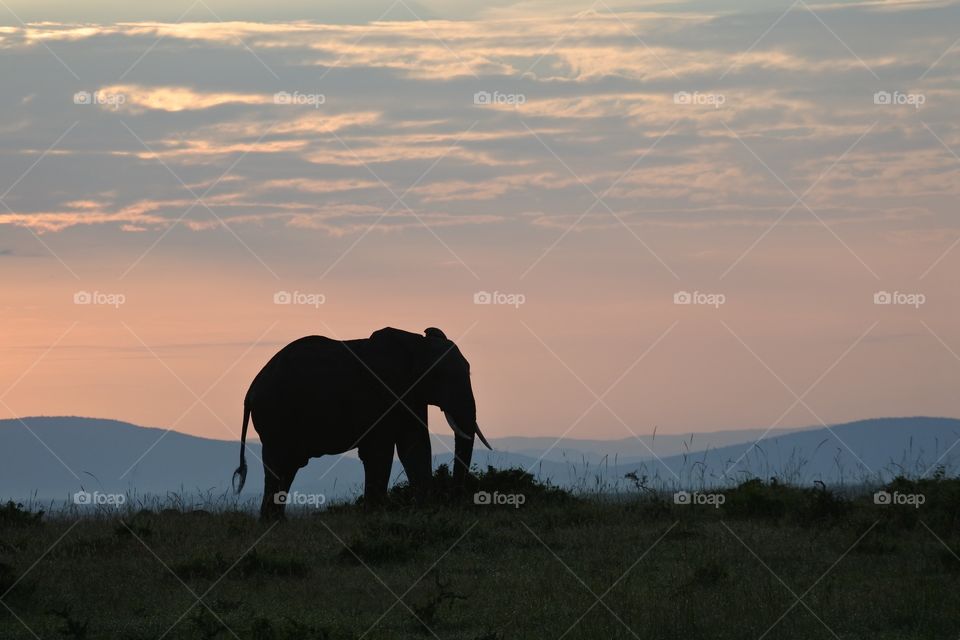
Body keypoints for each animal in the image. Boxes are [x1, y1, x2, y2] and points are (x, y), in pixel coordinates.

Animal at [230, 324, 492, 520]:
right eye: (441, 376)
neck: (417, 344)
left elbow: (415, 446)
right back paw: (271, 522)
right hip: (275, 415)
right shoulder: (385, 391)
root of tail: (250, 391)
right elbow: (380, 451)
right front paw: (376, 514)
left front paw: (425, 510)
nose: (454, 500)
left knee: (288, 466)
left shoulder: (411, 396)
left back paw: (276, 522)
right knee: (279, 463)